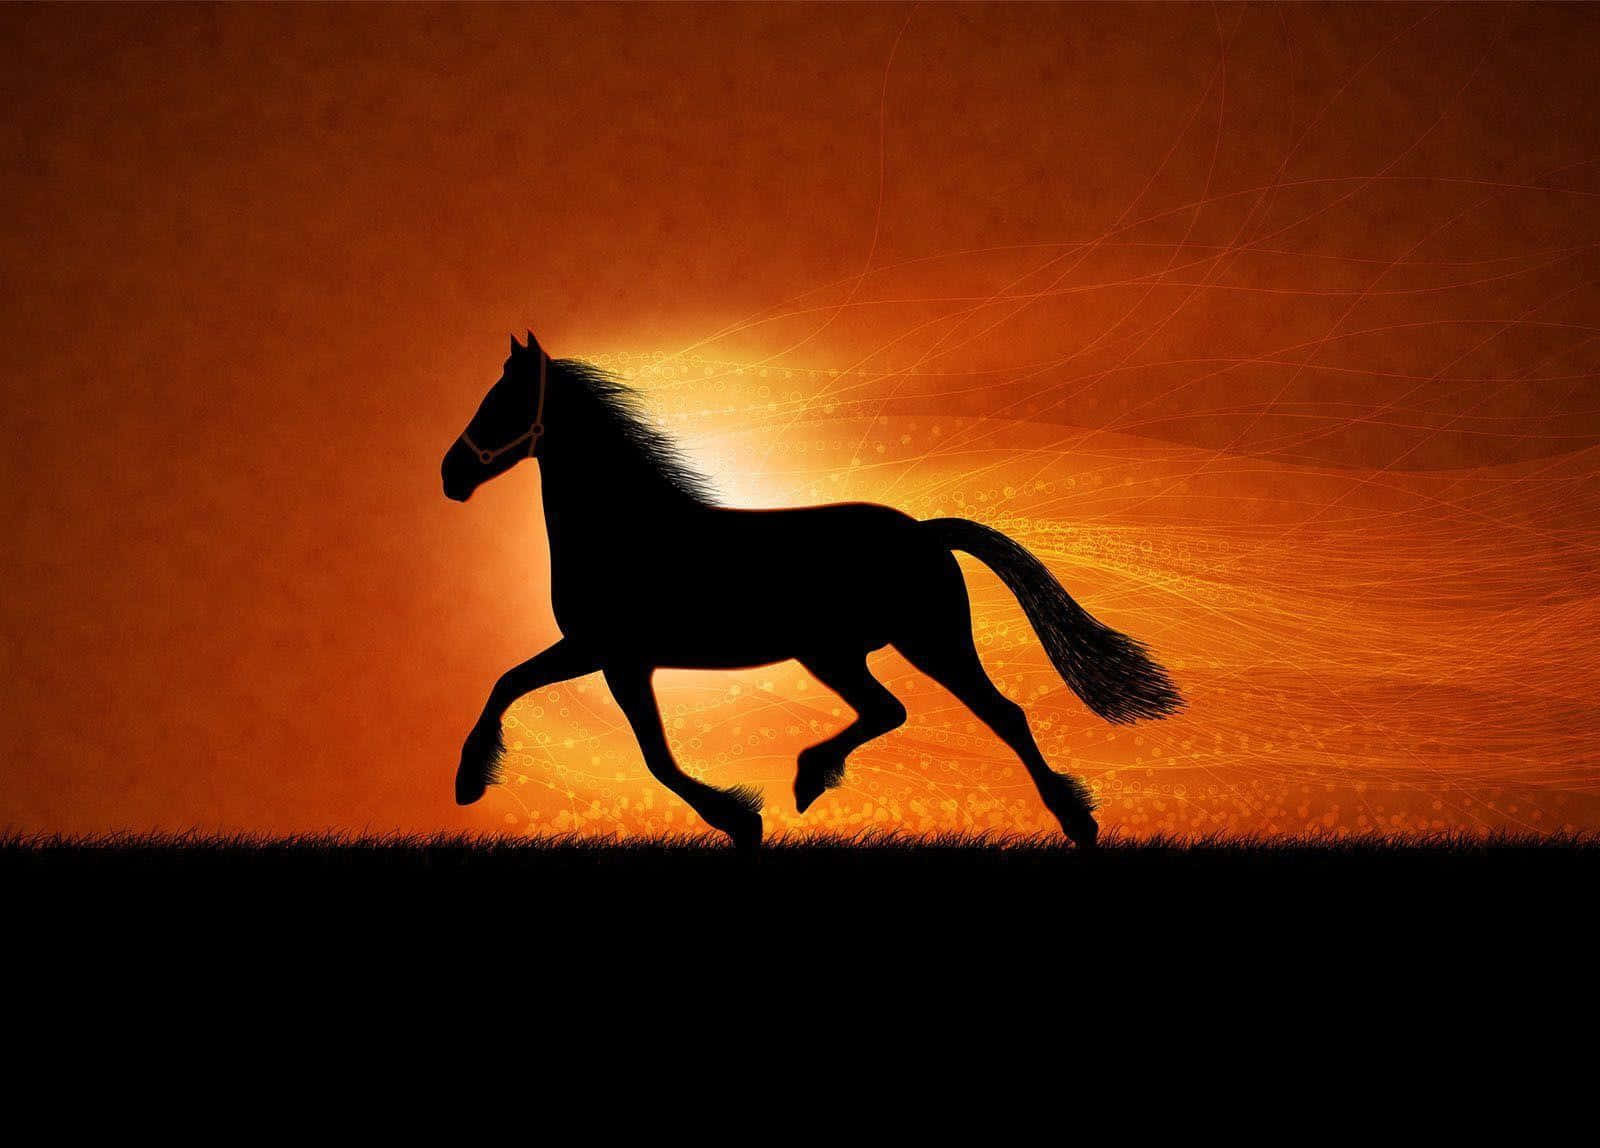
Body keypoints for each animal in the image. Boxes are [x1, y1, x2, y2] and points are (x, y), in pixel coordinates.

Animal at [441, 332, 1183, 849]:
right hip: (839, 653)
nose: (451, 475)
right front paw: (470, 781)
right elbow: (512, 684)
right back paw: (810, 777)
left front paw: (740, 820)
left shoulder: (614, 655)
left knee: (1000, 715)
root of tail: (924, 531)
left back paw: (1075, 823)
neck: (626, 528)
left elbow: (649, 754)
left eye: (501, 402)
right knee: (891, 711)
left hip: (923, 643)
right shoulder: (601, 653)